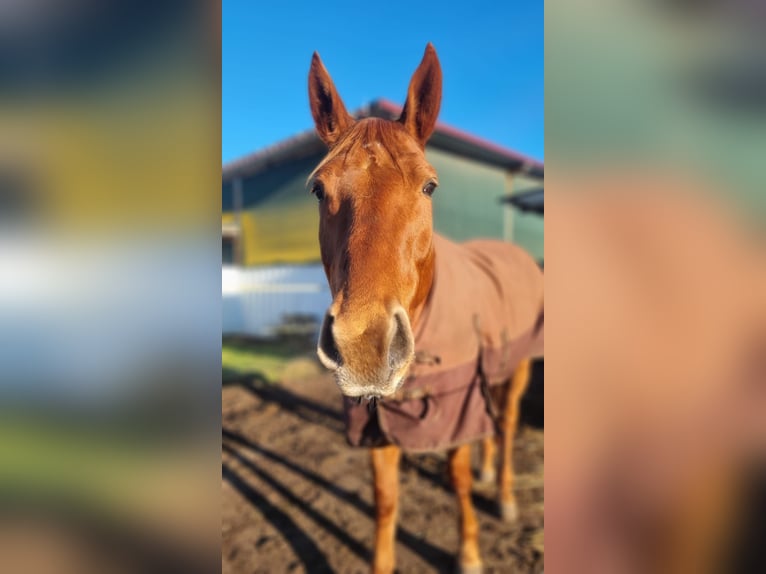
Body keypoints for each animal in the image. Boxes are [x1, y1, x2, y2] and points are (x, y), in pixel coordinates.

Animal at [306, 46, 544, 574]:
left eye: (429, 186)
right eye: (317, 189)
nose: (365, 346)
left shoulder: (452, 406)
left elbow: (456, 480)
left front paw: (469, 554)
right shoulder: (377, 420)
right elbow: (385, 502)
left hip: (517, 368)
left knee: (507, 424)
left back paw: (504, 496)